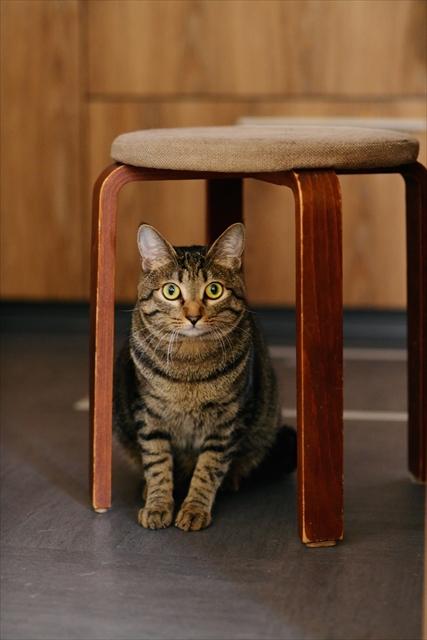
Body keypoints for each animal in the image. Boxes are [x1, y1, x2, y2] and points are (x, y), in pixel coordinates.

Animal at [112, 222, 296, 532]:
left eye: (214, 289)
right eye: (171, 291)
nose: (194, 316)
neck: (189, 365)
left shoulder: (227, 421)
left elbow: (209, 468)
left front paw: (194, 508)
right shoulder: (148, 413)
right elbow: (157, 462)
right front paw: (158, 505)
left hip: (264, 426)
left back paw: (229, 481)